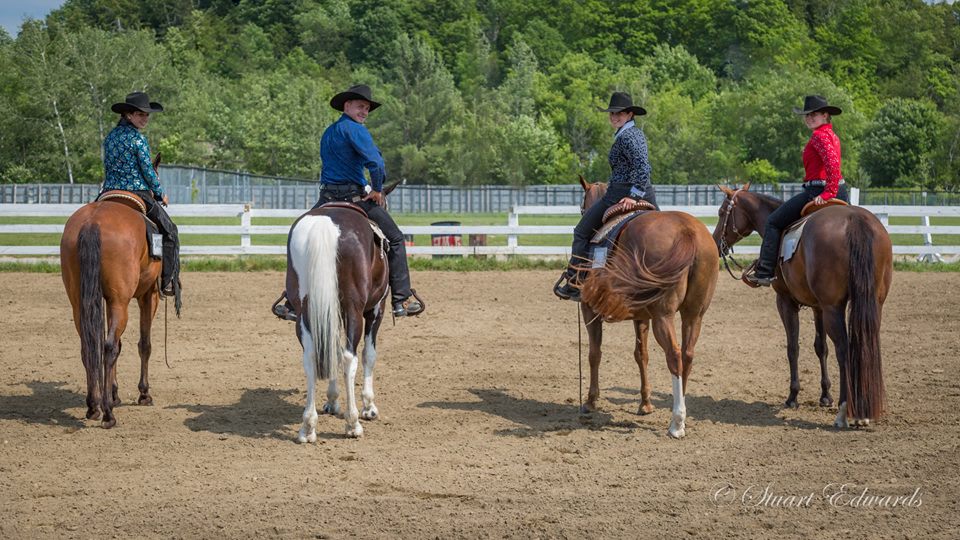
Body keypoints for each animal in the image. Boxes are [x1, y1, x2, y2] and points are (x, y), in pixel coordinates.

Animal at [59, 188, 162, 428]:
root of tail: (92, 223)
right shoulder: (148, 295)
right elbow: (144, 344)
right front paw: (144, 394)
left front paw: (114, 393)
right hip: (120, 302)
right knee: (108, 347)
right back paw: (108, 414)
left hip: (81, 302)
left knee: (90, 346)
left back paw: (94, 406)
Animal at [280, 180, 410, 438]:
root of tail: (324, 225)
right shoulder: (375, 310)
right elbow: (368, 354)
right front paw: (369, 406)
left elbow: (332, 350)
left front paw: (331, 401)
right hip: (354, 310)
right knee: (350, 358)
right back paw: (353, 423)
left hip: (305, 311)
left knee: (311, 356)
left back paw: (308, 426)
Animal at [712, 184, 892, 428]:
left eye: (722, 212)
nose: (715, 242)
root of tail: (855, 221)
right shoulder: (818, 308)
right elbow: (821, 348)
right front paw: (825, 396)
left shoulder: (786, 301)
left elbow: (793, 347)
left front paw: (793, 396)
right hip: (873, 303)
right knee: (865, 345)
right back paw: (863, 411)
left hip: (833, 308)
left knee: (844, 350)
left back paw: (845, 410)